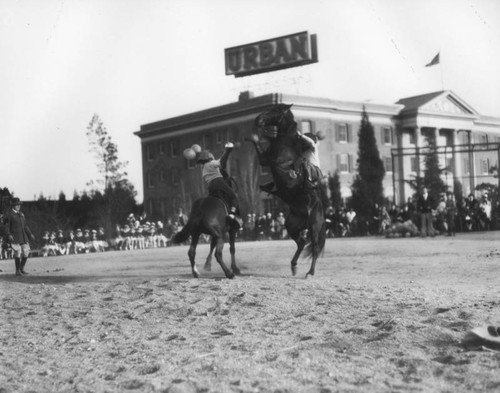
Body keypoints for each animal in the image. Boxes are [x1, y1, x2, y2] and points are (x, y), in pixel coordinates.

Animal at [247, 102, 326, 278]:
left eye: (275, 110)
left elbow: (259, 148)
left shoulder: (269, 160)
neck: (285, 142)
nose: (257, 119)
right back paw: (294, 266)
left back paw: (310, 272)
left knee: (314, 248)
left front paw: (254, 136)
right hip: (292, 226)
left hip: (314, 227)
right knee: (301, 243)